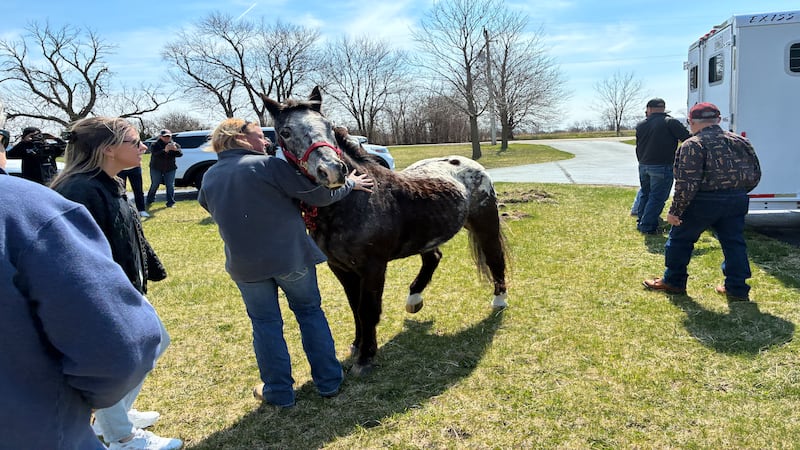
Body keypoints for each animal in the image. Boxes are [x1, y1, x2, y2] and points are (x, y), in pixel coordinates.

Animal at [262, 86, 508, 375]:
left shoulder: (373, 267)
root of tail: (469, 164)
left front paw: (366, 357)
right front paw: (358, 345)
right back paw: (414, 300)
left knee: (495, 258)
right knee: (433, 258)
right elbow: (354, 307)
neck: (357, 198)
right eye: (285, 132)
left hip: (485, 225)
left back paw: (499, 301)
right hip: (426, 237)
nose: (332, 171)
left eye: (328, 126)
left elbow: (367, 309)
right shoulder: (340, 268)